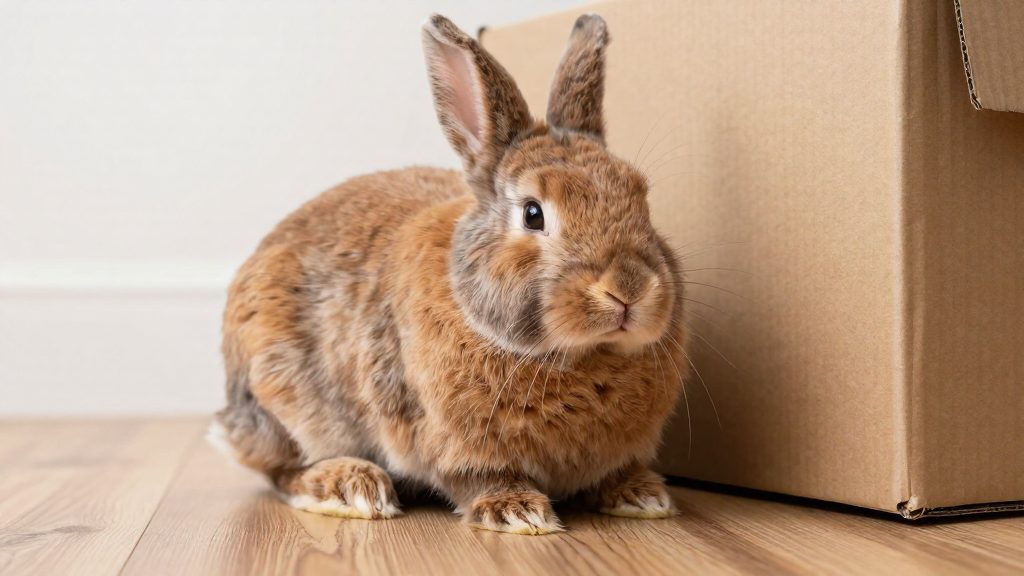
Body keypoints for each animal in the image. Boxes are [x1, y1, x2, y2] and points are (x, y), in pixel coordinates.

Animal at [212, 12, 688, 535]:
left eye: (640, 197)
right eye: (533, 214)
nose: (628, 289)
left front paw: (644, 496)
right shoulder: (452, 440)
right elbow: (481, 478)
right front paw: (518, 512)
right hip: (283, 397)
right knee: (282, 471)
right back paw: (352, 486)